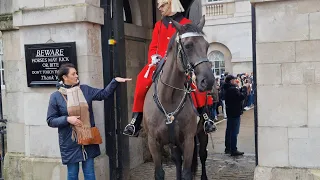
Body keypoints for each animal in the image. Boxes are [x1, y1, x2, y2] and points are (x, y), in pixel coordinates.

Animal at [143, 15, 214, 180]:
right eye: (188, 46)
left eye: (207, 46)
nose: (208, 81)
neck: (169, 97)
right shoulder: (153, 143)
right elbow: (160, 172)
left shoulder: (188, 140)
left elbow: (187, 171)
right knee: (177, 160)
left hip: (201, 133)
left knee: (203, 155)